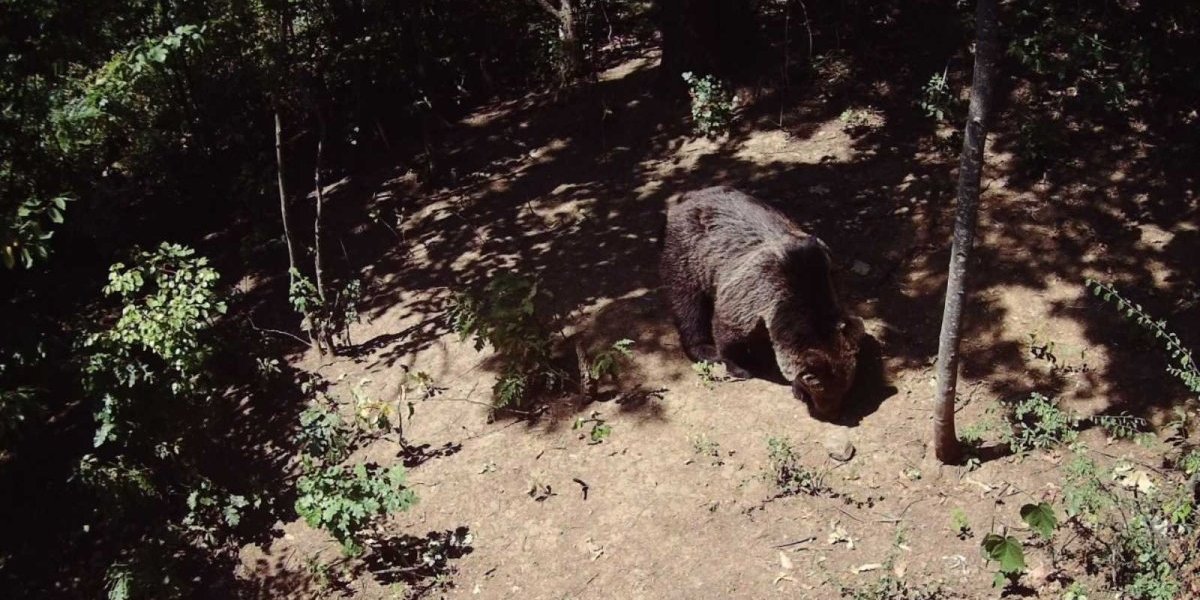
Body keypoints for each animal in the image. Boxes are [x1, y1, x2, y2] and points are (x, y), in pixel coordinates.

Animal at [657, 184, 864, 420]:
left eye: (845, 387)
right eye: (817, 386)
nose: (831, 413)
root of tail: (686, 197)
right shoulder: (749, 295)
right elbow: (728, 335)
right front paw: (740, 366)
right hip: (686, 255)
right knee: (688, 305)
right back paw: (703, 349)